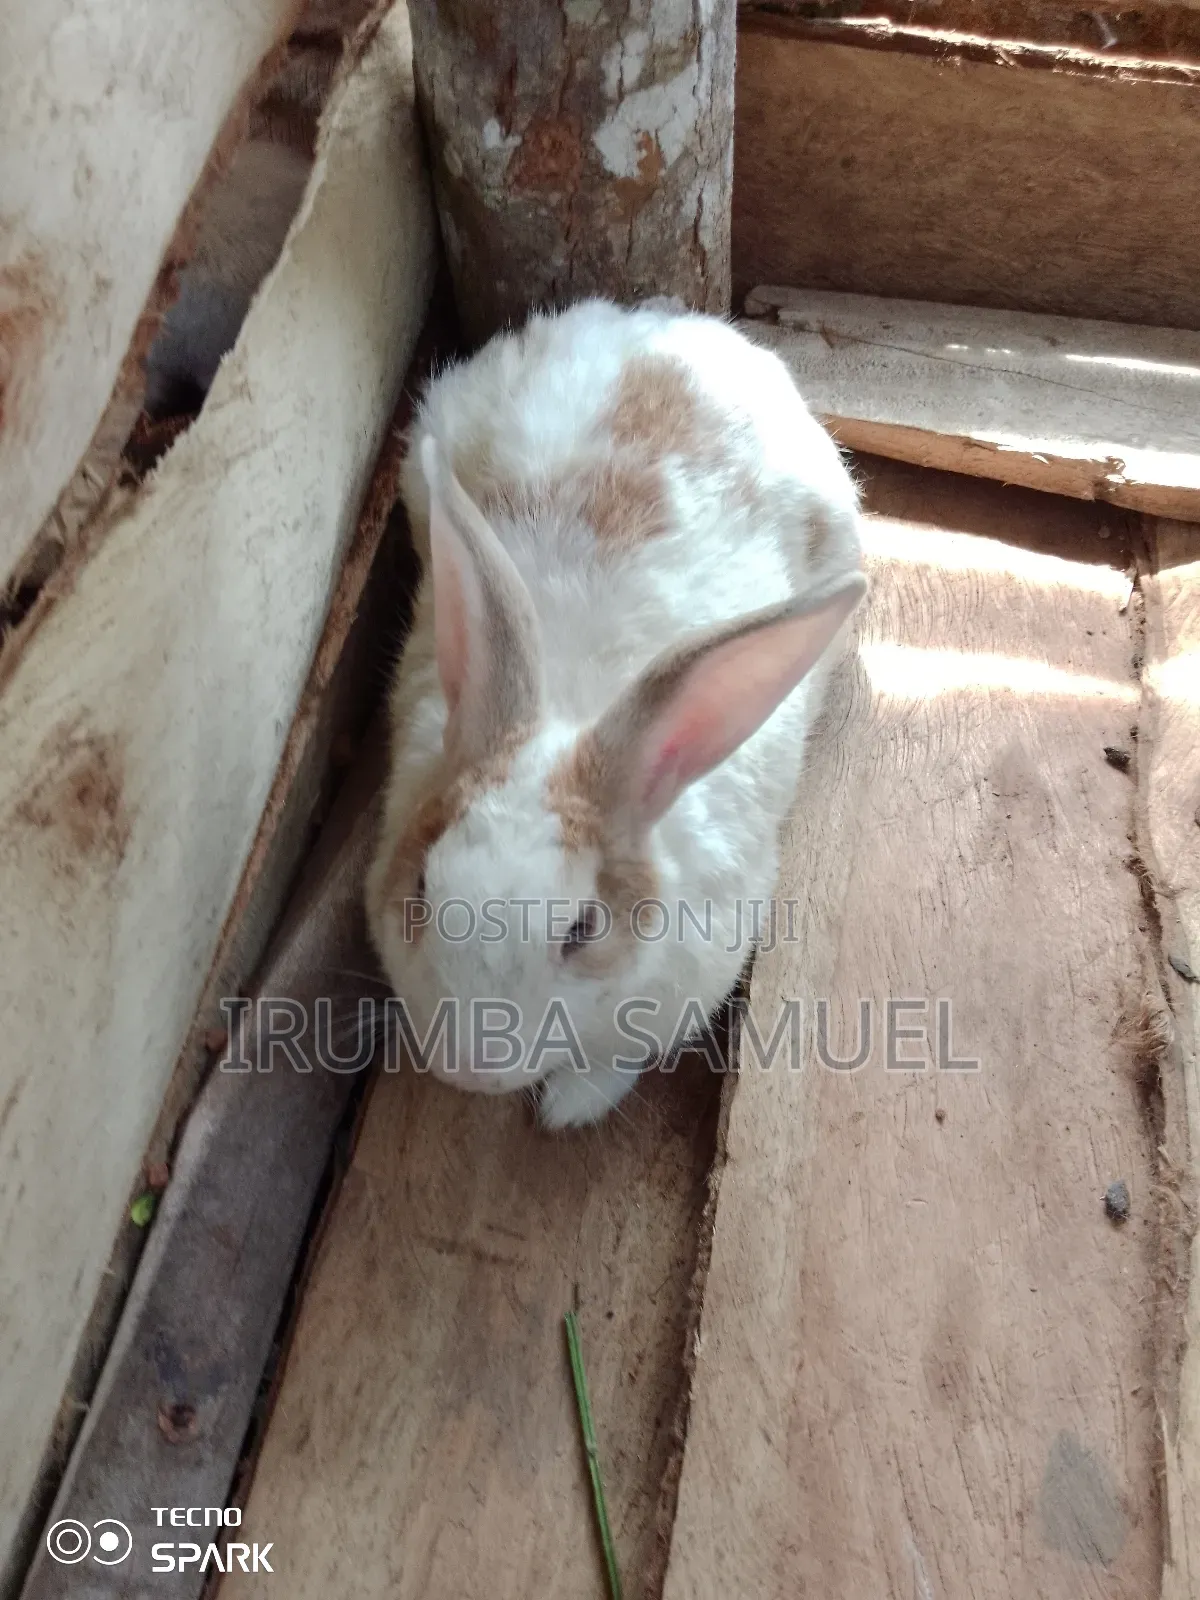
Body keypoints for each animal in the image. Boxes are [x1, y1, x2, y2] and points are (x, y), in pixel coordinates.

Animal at [364, 297, 867, 1130]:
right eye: (425, 890)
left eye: (583, 929)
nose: (471, 1069)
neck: (575, 710)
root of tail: (670, 328)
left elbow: (615, 1059)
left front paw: (570, 1105)